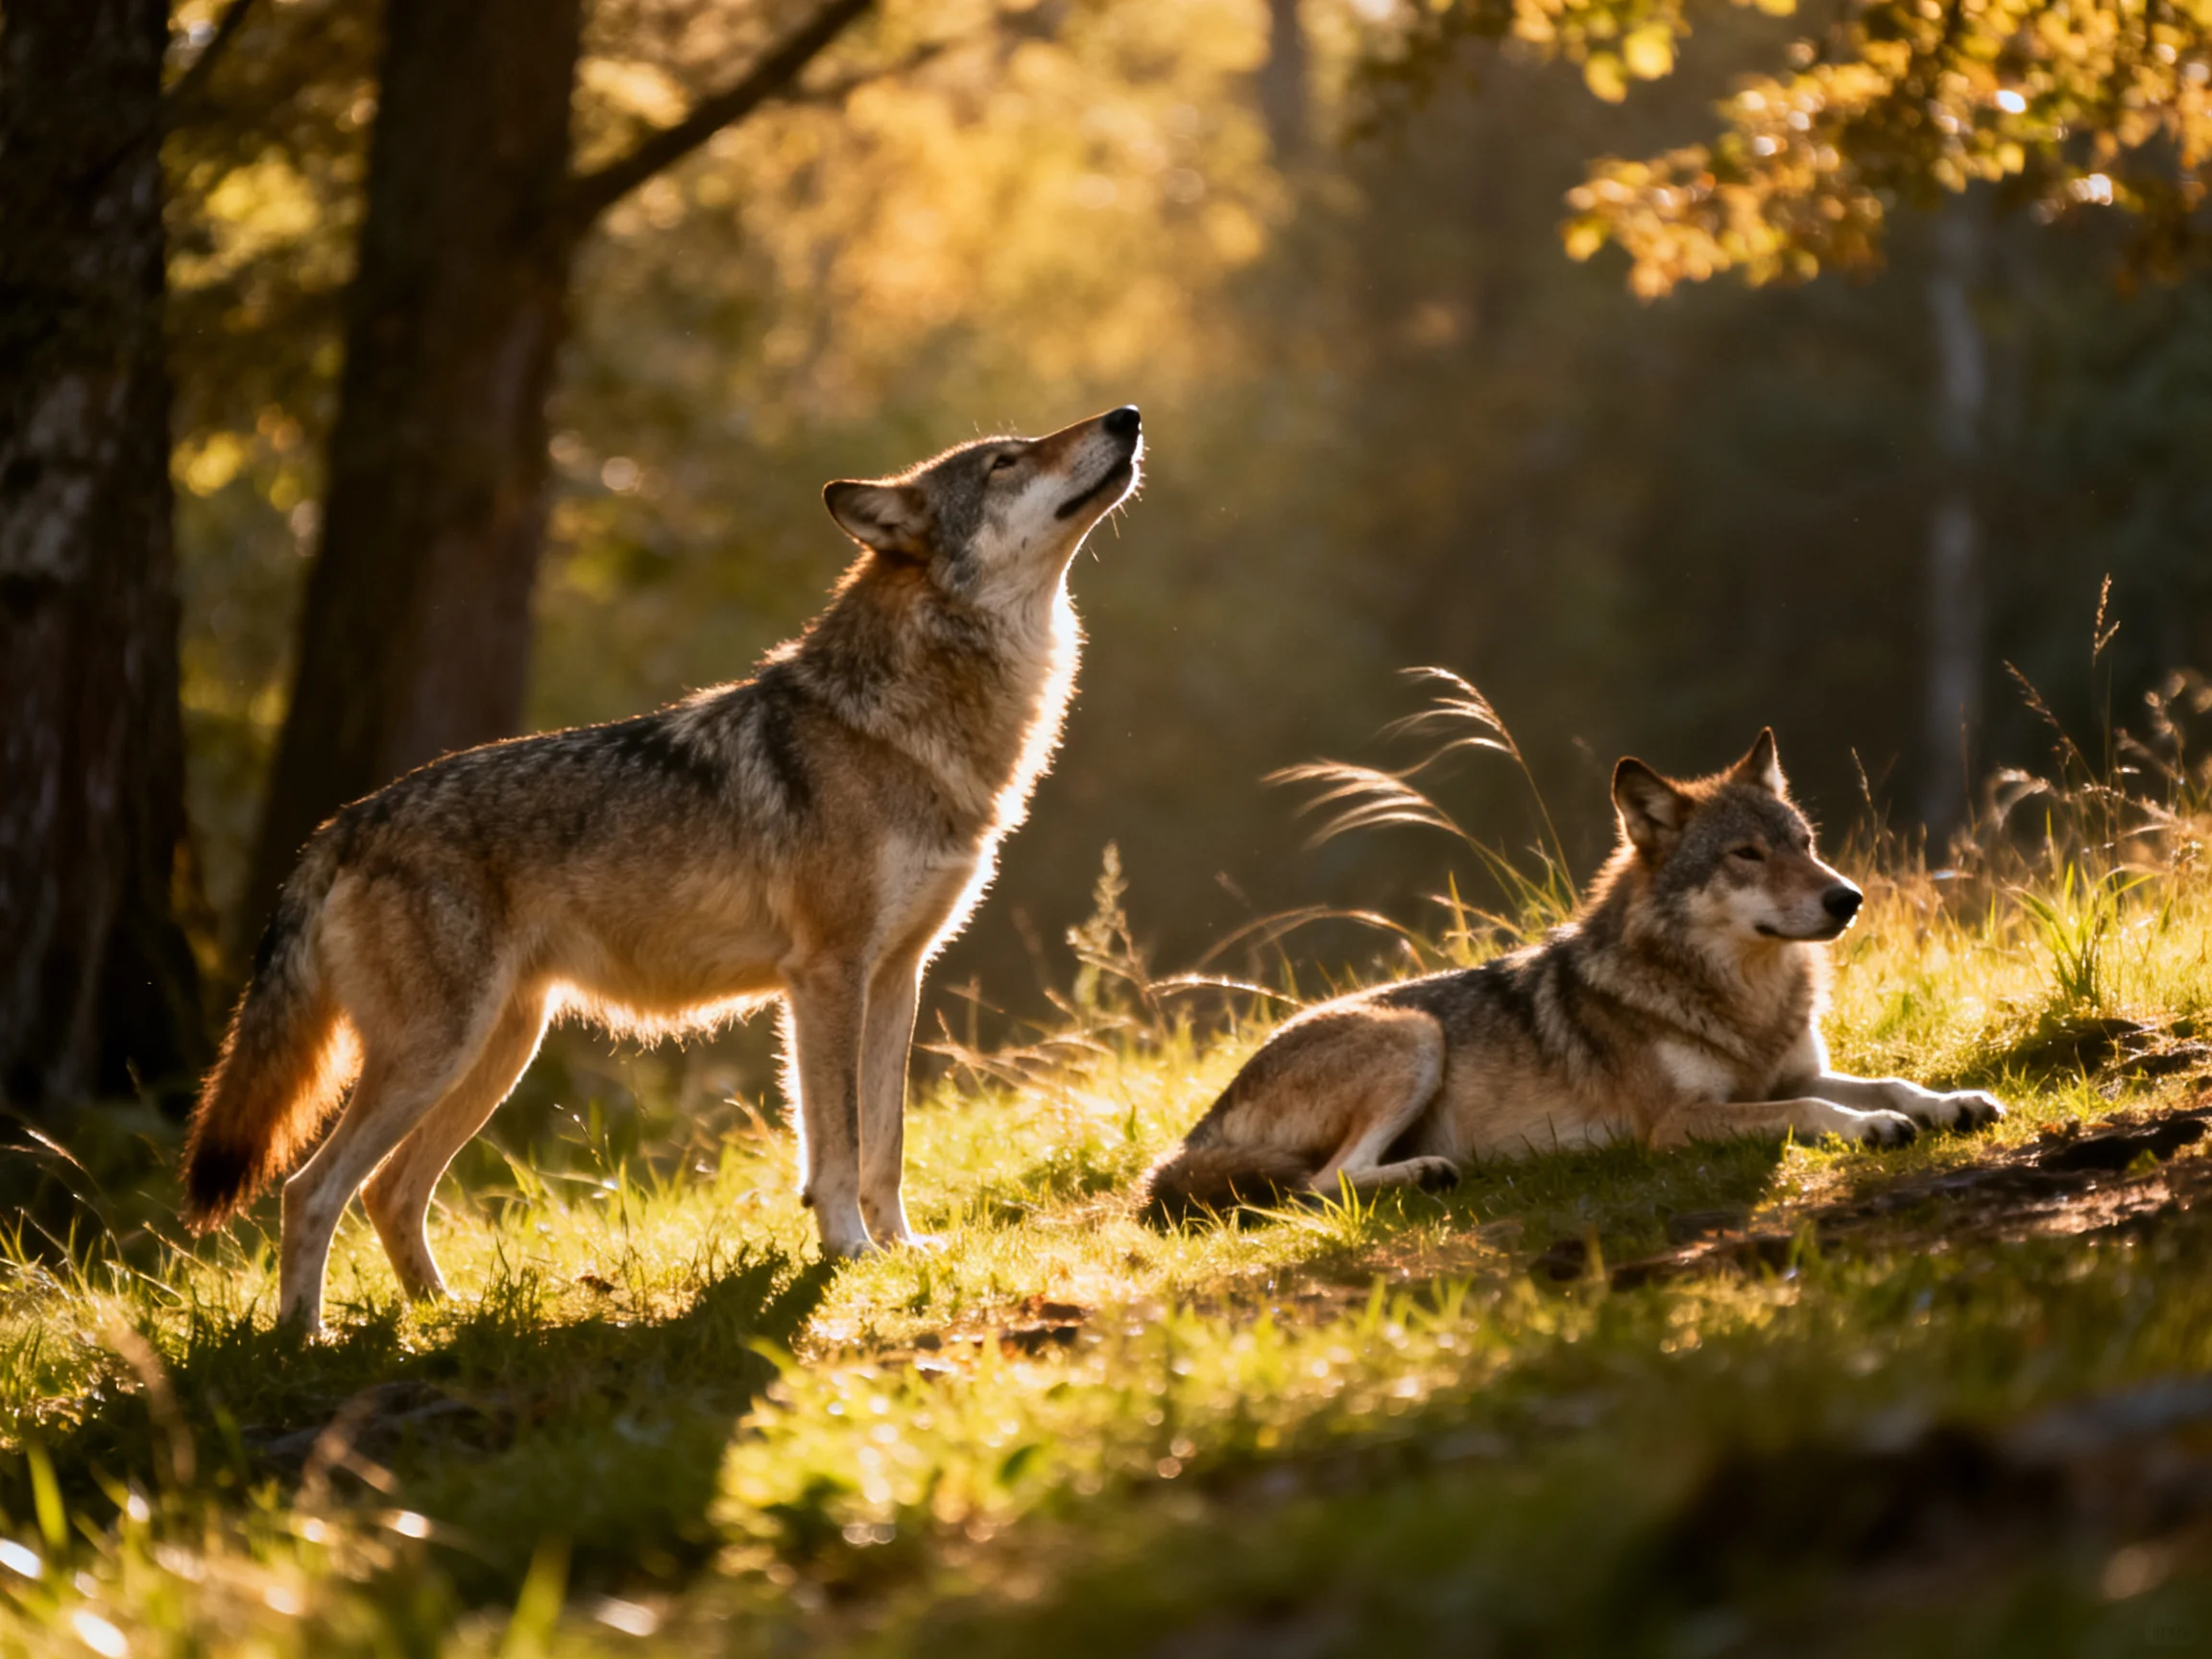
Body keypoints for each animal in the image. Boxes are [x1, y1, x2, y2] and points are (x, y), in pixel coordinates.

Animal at [184, 406, 1144, 1331]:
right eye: (1005, 462)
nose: (1127, 416)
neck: (903, 726)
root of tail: (340, 824)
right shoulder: (826, 975)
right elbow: (836, 1143)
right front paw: (849, 1251)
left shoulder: (897, 974)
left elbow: (887, 1142)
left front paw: (900, 1248)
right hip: (439, 1054)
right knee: (311, 1191)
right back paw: (303, 1344)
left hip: (496, 1052)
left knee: (387, 1192)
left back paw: (441, 1317)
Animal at [1141, 730, 2005, 1219]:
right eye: (1746, 855)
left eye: (1804, 842)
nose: (1848, 897)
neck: (1741, 998)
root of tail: (1198, 1125)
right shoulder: (1678, 1123)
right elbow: (1810, 1111)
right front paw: (1872, 1128)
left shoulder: (1790, 1070)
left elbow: (1887, 1082)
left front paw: (1951, 1102)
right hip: (1414, 1036)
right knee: (1324, 1184)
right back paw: (1429, 1172)